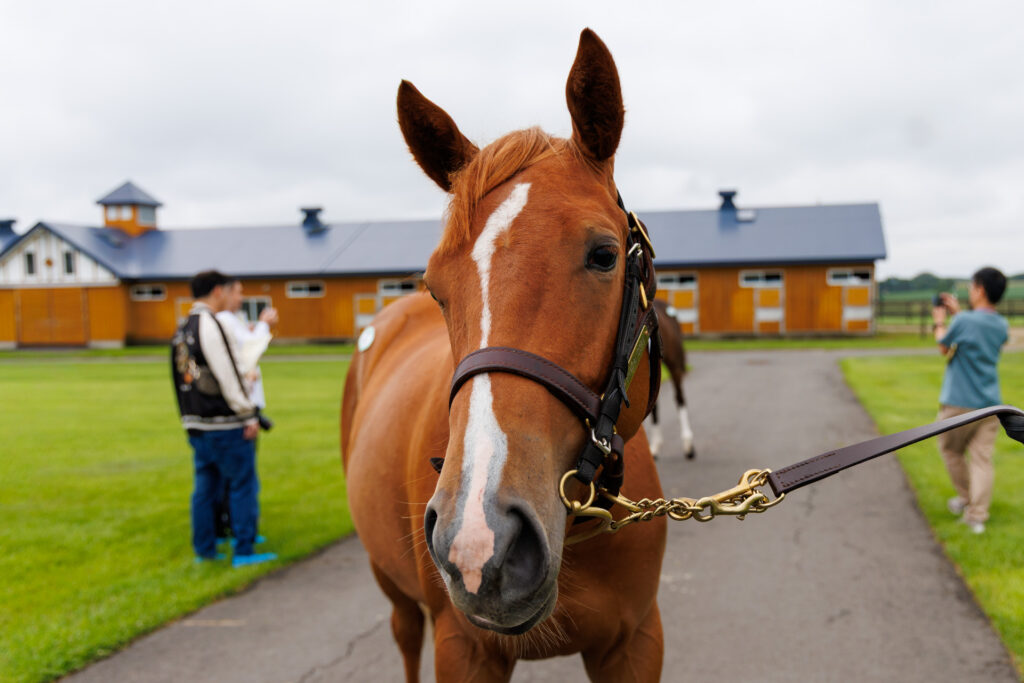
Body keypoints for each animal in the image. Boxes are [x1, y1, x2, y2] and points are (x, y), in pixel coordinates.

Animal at [341, 29, 666, 683]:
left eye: (604, 255)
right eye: (436, 287)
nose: (479, 538)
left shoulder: (638, 641)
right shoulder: (464, 650)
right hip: (391, 587)